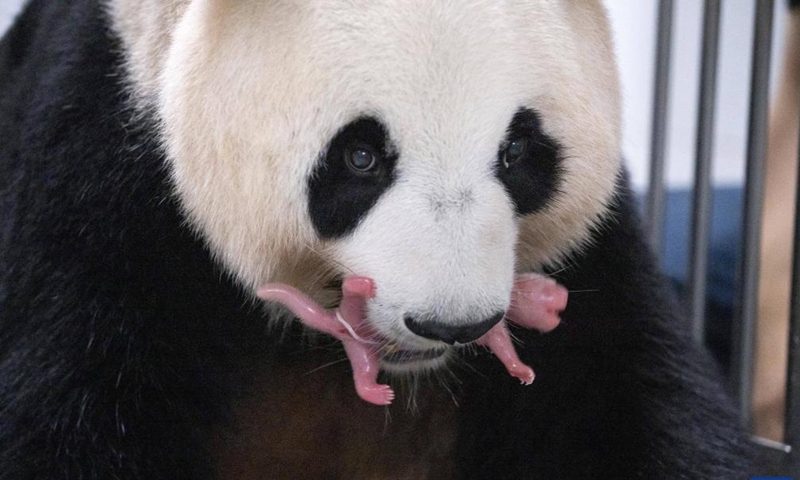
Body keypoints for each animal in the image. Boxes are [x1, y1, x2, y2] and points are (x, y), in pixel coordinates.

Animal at [0, 0, 754, 479]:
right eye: (361, 157)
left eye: (518, 151)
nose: (454, 324)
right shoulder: (100, 174)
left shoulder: (590, 264)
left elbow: (632, 397)